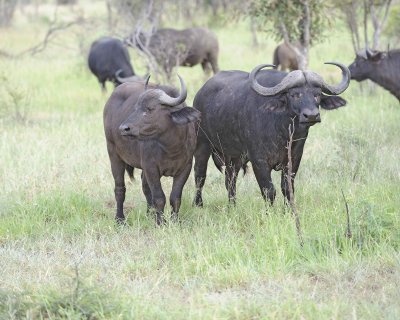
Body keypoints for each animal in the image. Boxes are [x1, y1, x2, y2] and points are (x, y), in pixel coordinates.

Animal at [103, 75, 200, 225]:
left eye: (150, 109)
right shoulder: (151, 168)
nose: (124, 128)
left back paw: (150, 213)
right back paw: (120, 219)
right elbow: (159, 197)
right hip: (113, 154)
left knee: (144, 187)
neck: (171, 147)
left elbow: (175, 197)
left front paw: (174, 220)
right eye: (136, 108)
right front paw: (160, 222)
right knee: (120, 188)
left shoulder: (185, 168)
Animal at [194, 62, 350, 208]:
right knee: (200, 175)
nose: (311, 115)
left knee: (230, 180)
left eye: (317, 94)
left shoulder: (294, 158)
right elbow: (269, 190)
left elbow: (287, 188)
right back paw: (198, 204)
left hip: (234, 156)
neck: (282, 131)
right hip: (202, 145)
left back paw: (232, 206)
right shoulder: (259, 160)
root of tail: (199, 95)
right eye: (294, 94)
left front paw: (289, 211)